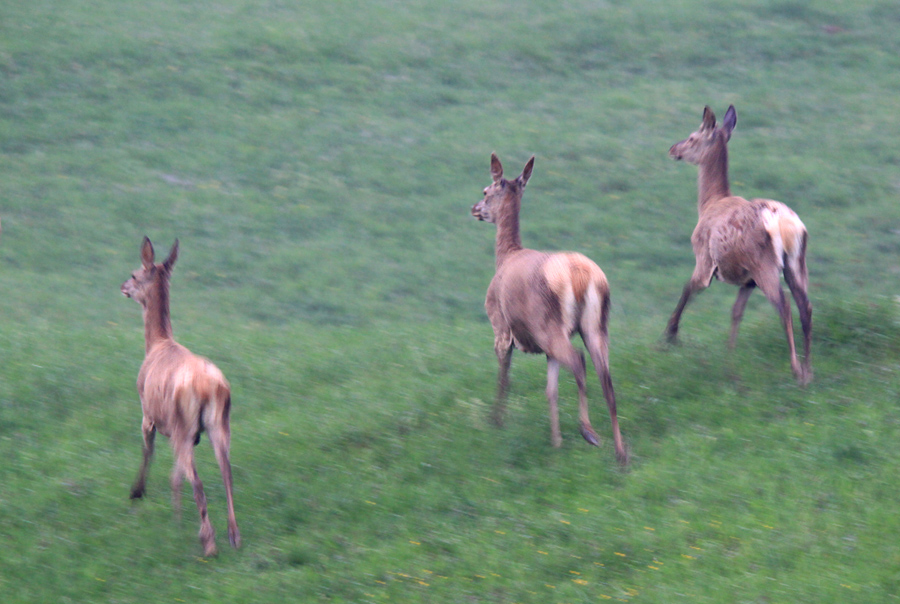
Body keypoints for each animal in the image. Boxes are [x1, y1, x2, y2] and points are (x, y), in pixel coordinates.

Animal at [124, 237, 243, 556]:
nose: (123, 286)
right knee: (226, 472)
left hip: (182, 423)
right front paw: (176, 518)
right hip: (218, 424)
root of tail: (210, 387)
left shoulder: (148, 413)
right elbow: (174, 475)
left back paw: (209, 542)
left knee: (198, 481)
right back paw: (233, 536)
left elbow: (148, 451)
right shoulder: (191, 434)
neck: (156, 344)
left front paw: (137, 492)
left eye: (135, 274)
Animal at [472, 153, 624, 464]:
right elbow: (550, 390)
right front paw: (556, 442)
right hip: (595, 325)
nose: (474, 208)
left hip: (548, 325)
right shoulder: (546, 352)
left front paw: (496, 421)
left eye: (485, 191)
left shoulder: (500, 326)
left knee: (579, 361)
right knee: (607, 379)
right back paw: (620, 454)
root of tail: (580, 276)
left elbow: (504, 377)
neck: (505, 256)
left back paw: (588, 431)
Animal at [664, 104, 812, 384]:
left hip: (765, 264)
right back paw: (809, 370)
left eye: (692, 137)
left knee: (784, 306)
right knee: (806, 306)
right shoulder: (747, 281)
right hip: (796, 263)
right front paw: (729, 357)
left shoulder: (704, 258)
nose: (672, 149)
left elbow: (688, 287)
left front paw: (670, 335)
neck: (709, 204)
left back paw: (796, 369)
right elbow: (736, 312)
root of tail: (786, 225)